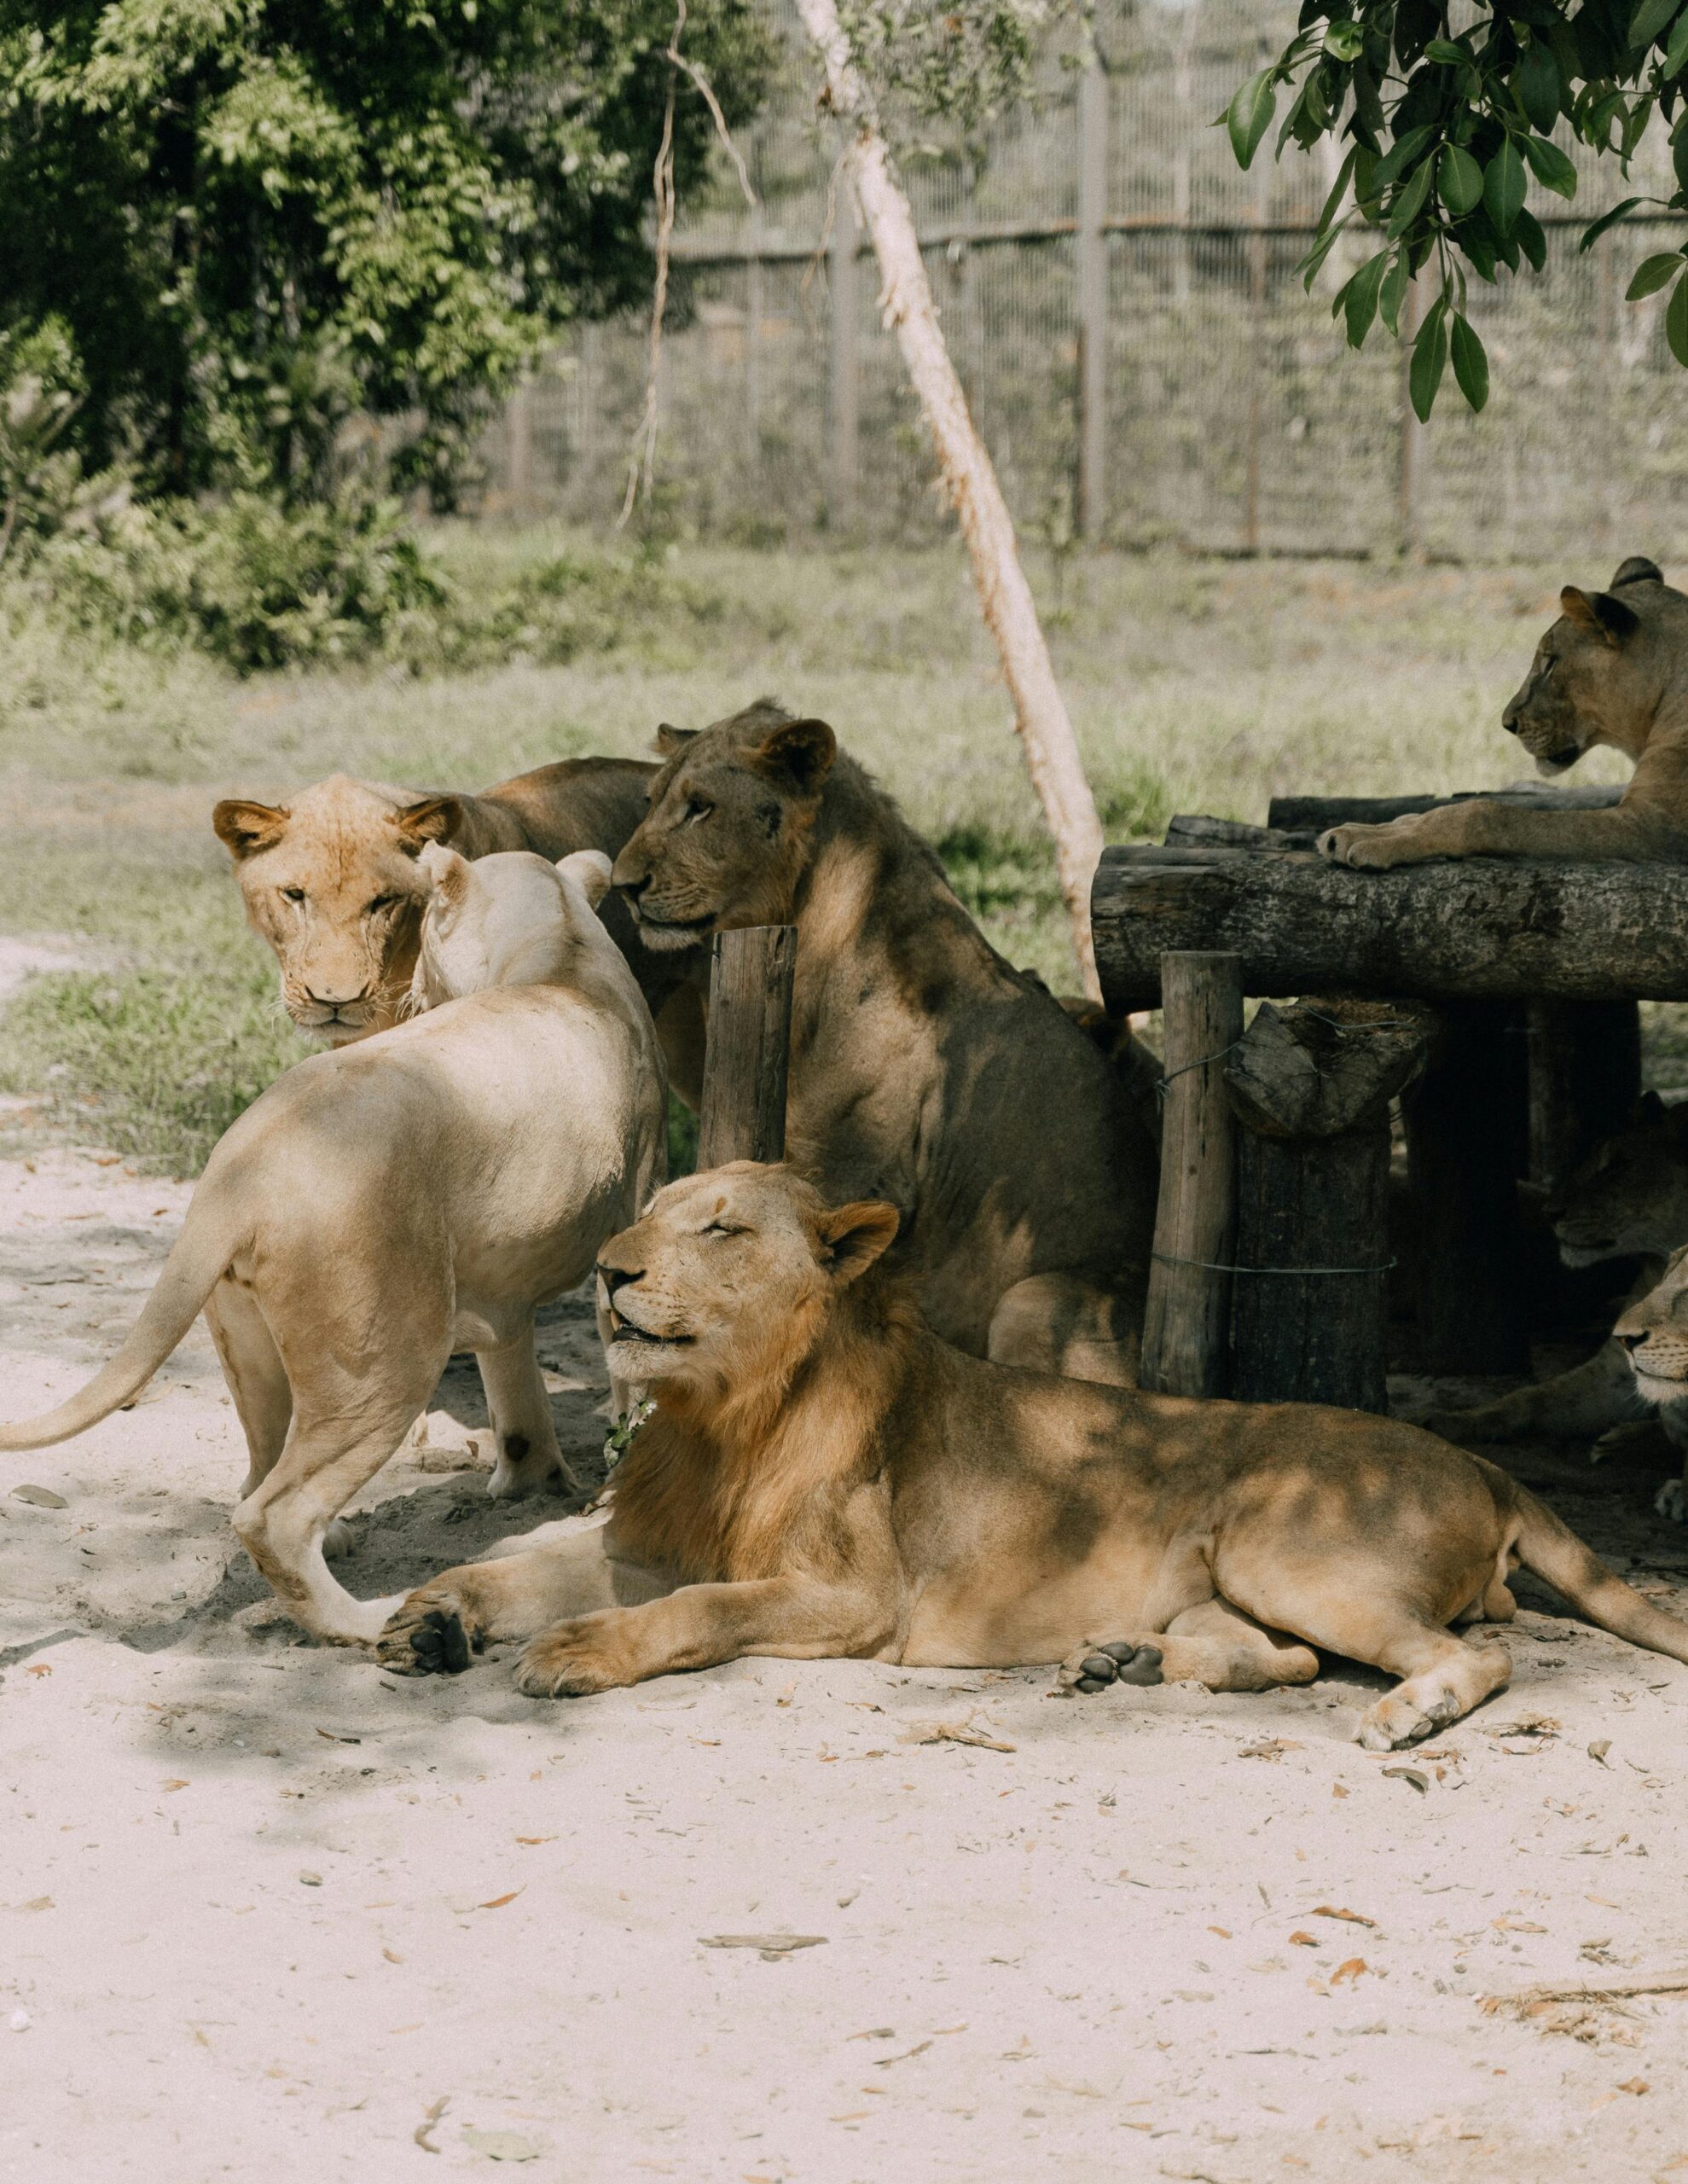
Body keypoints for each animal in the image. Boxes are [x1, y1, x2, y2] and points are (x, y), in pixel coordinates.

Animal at [375, 1170, 1685, 1747]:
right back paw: (1121, 1661)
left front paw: (577, 1652)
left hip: (1289, 1547)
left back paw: (1407, 1714)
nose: (609, 1269)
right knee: (1290, 1661)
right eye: (649, 1209)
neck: (721, 1417)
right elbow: (520, 1565)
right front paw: (430, 1617)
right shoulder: (650, 1540)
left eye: (722, 1227)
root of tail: (1482, 1465)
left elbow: (694, 1611)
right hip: (1241, 1581)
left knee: (1476, 1655)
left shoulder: (854, 1598)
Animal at [606, 699, 1162, 1380]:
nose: (622, 885)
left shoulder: (861, 1177)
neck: (812, 930)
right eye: (651, 799)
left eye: (701, 806)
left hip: (1033, 1301)